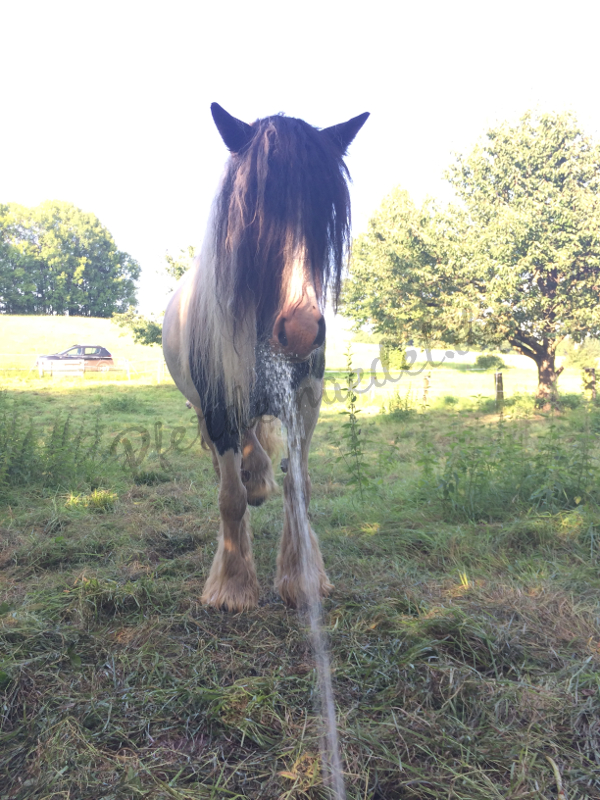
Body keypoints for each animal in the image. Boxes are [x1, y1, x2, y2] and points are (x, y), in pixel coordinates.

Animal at [164, 101, 370, 612]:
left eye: (325, 211)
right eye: (253, 210)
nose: (300, 331)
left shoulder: (305, 400)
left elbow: (299, 485)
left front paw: (302, 577)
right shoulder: (218, 402)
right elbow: (230, 498)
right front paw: (232, 585)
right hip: (203, 405)